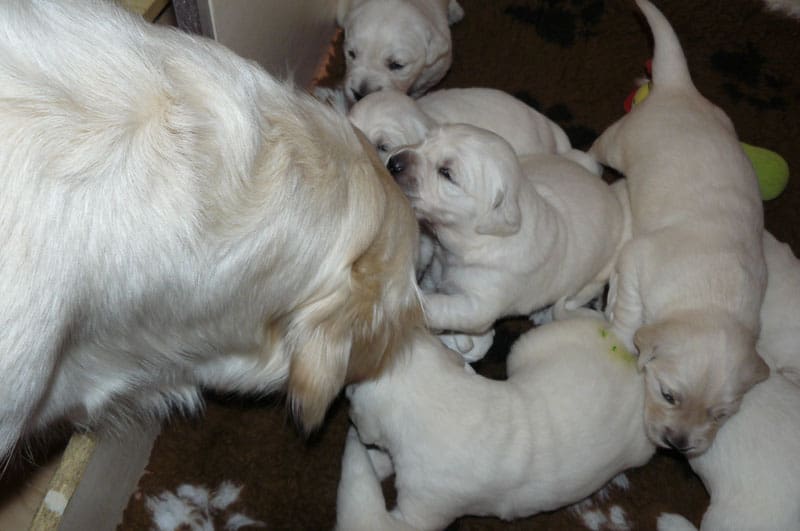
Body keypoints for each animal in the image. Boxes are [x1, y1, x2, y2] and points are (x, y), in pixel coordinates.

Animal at [388, 123, 630, 336]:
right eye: (425, 140)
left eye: (446, 173)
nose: (392, 163)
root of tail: (607, 189)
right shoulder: (437, 266)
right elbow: (431, 282)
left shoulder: (480, 301)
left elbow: (439, 307)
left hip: (597, 274)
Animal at [589, 0, 769, 456]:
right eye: (669, 395)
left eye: (720, 414)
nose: (678, 445)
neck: (710, 301)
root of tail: (677, 88)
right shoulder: (640, 260)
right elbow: (630, 306)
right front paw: (623, 330)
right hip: (621, 140)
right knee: (599, 146)